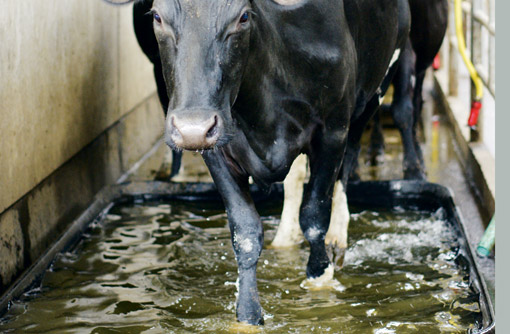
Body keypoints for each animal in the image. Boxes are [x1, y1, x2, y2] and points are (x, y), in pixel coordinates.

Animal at [128, 0, 410, 324]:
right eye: (157, 16)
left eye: (243, 16)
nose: (192, 128)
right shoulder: (217, 147)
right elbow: (246, 231)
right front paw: (248, 316)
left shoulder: (332, 130)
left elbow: (315, 216)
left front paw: (320, 279)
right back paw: (286, 237)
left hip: (373, 93)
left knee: (346, 166)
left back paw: (337, 236)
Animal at [366, 0, 446, 180]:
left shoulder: (407, 47)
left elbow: (403, 108)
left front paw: (413, 169)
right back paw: (376, 146)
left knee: (416, 103)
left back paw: (419, 155)